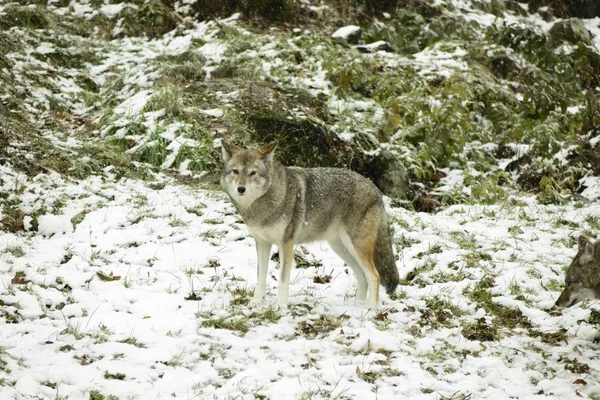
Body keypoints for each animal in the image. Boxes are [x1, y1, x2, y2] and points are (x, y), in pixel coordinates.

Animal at [220, 140, 398, 310]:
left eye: (253, 173)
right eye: (235, 171)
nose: (241, 189)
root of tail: (376, 190)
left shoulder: (286, 244)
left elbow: (283, 280)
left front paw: (281, 307)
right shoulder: (262, 243)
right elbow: (261, 278)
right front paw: (256, 304)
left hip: (356, 247)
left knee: (374, 276)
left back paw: (370, 310)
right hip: (341, 249)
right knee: (362, 277)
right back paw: (357, 307)